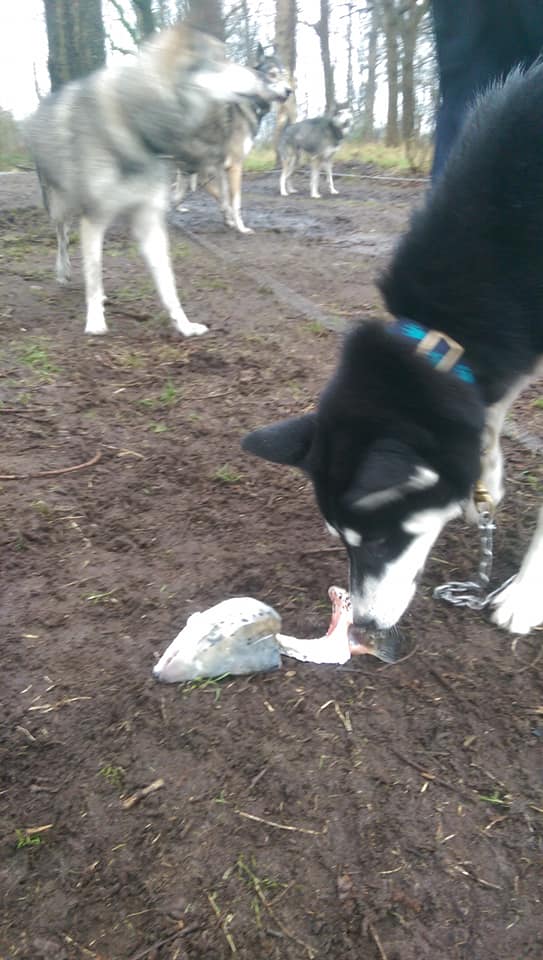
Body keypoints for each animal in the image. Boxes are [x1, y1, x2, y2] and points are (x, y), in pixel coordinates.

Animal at [174, 43, 294, 234]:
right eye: (272, 74)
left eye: (284, 75)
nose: (290, 91)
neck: (249, 101)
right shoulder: (235, 165)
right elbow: (235, 201)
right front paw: (241, 227)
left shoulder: (221, 167)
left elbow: (223, 196)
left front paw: (228, 219)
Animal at [245, 65, 543, 636]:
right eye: (339, 537)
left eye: (384, 538)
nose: (361, 625)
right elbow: (488, 418)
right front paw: (481, 488)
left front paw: (527, 593)